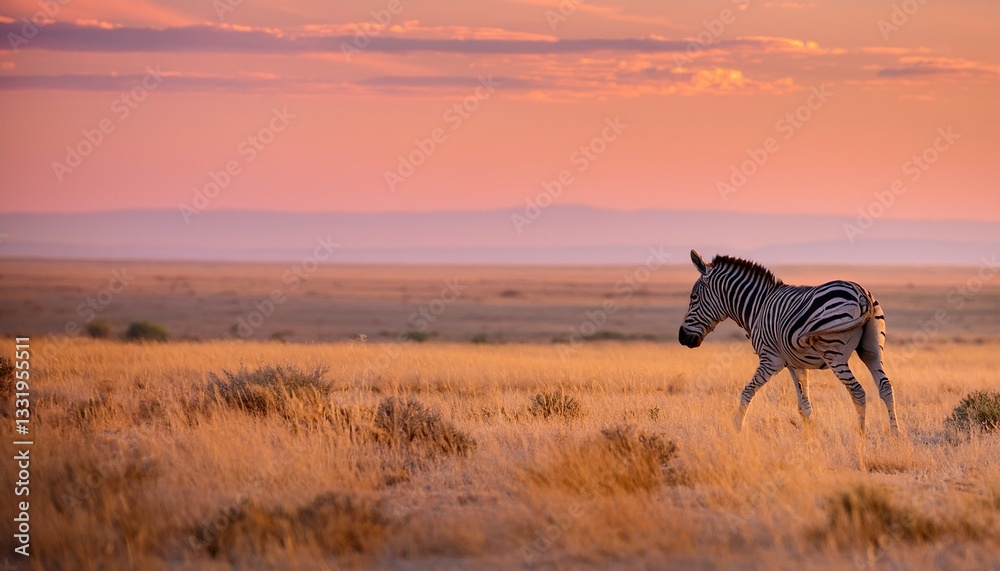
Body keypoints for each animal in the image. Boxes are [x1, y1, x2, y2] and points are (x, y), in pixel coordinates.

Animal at [678, 250, 898, 434]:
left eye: (693, 297)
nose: (682, 337)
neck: (758, 307)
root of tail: (862, 294)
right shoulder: (796, 364)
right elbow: (804, 406)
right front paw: (810, 440)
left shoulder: (770, 360)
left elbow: (747, 392)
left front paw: (736, 429)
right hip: (872, 350)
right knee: (886, 388)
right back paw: (895, 435)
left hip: (834, 354)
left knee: (858, 392)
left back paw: (860, 437)